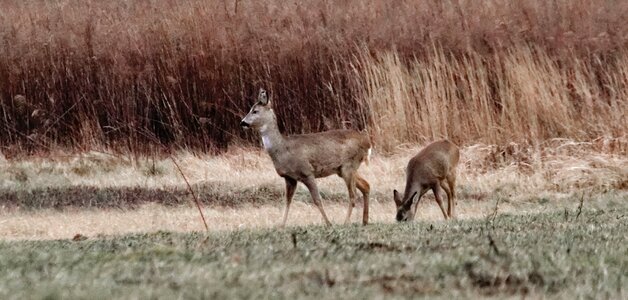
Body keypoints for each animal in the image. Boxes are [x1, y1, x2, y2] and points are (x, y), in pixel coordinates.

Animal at [239, 88, 368, 226]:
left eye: (255, 111)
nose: (242, 122)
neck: (282, 148)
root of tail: (367, 141)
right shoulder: (289, 178)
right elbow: (287, 201)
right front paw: (281, 225)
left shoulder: (307, 172)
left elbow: (317, 200)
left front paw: (328, 223)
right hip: (343, 169)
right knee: (366, 186)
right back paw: (364, 220)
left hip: (348, 166)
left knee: (353, 195)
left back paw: (346, 222)